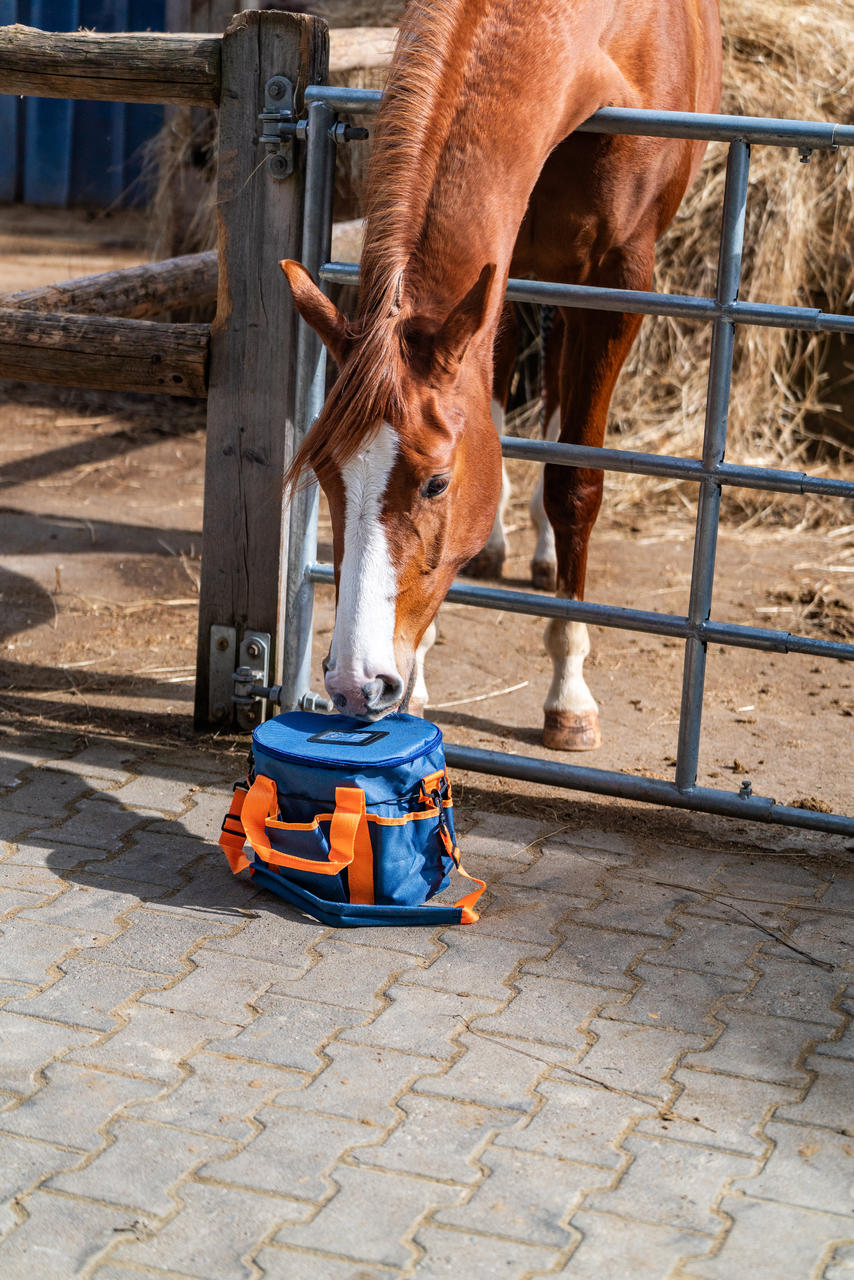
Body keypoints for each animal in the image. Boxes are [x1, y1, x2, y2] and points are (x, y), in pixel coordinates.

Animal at [281, 0, 722, 747]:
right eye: (325, 474)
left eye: (436, 483)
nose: (353, 683)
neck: (602, 39)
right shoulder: (497, 278)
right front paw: (421, 677)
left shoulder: (619, 280)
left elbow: (575, 482)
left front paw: (569, 695)